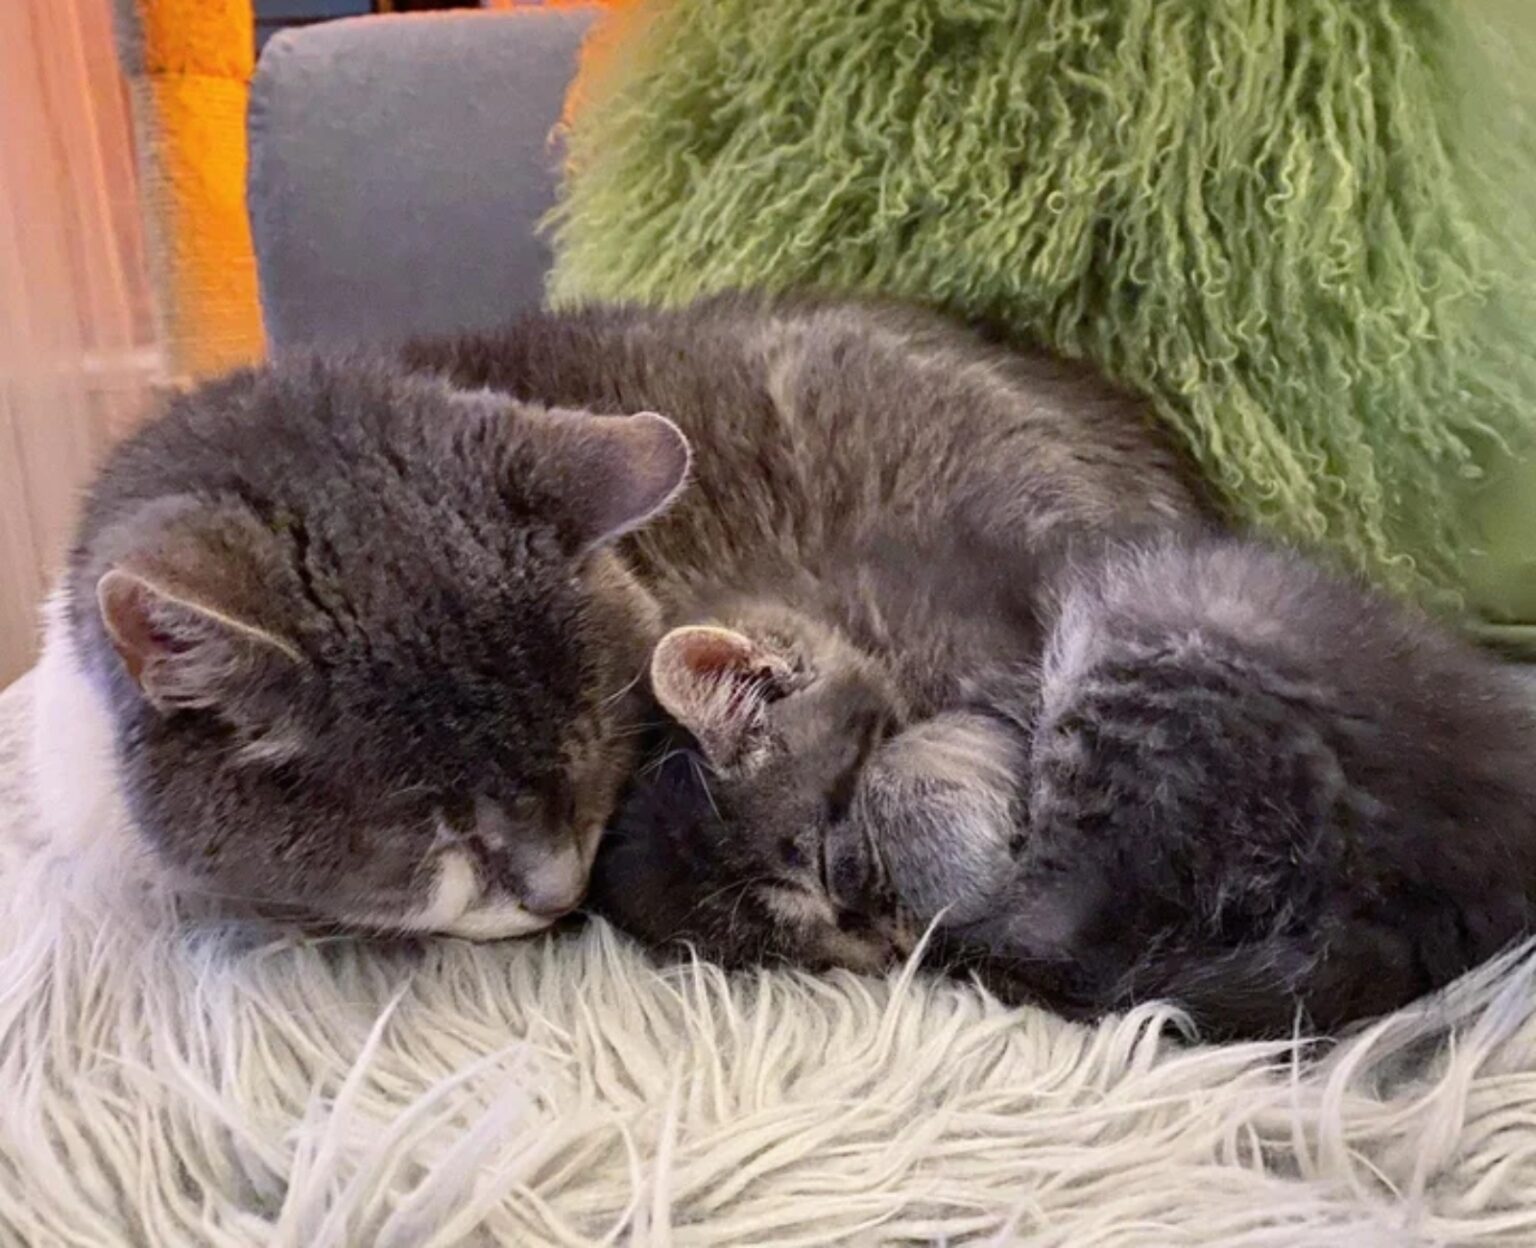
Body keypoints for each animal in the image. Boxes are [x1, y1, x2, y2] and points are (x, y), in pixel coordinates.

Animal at [592, 531, 1536, 1038]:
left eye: (838, 872)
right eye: (808, 955)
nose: (885, 947)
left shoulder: (1003, 690)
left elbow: (910, 769)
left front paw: (950, 877)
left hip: (1156, 635)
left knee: (1069, 926)